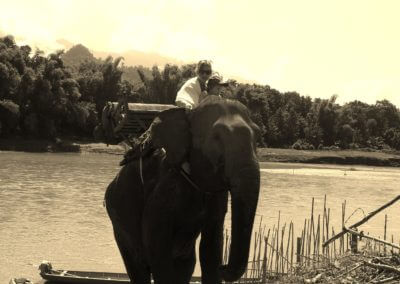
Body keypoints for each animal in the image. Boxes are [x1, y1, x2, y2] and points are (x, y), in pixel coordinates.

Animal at [104, 96, 260, 284]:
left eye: (258, 137)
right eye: (216, 137)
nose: (223, 267)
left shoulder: (216, 196)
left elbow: (212, 245)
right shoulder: (165, 186)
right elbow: (155, 242)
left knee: (186, 265)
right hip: (118, 221)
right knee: (137, 266)